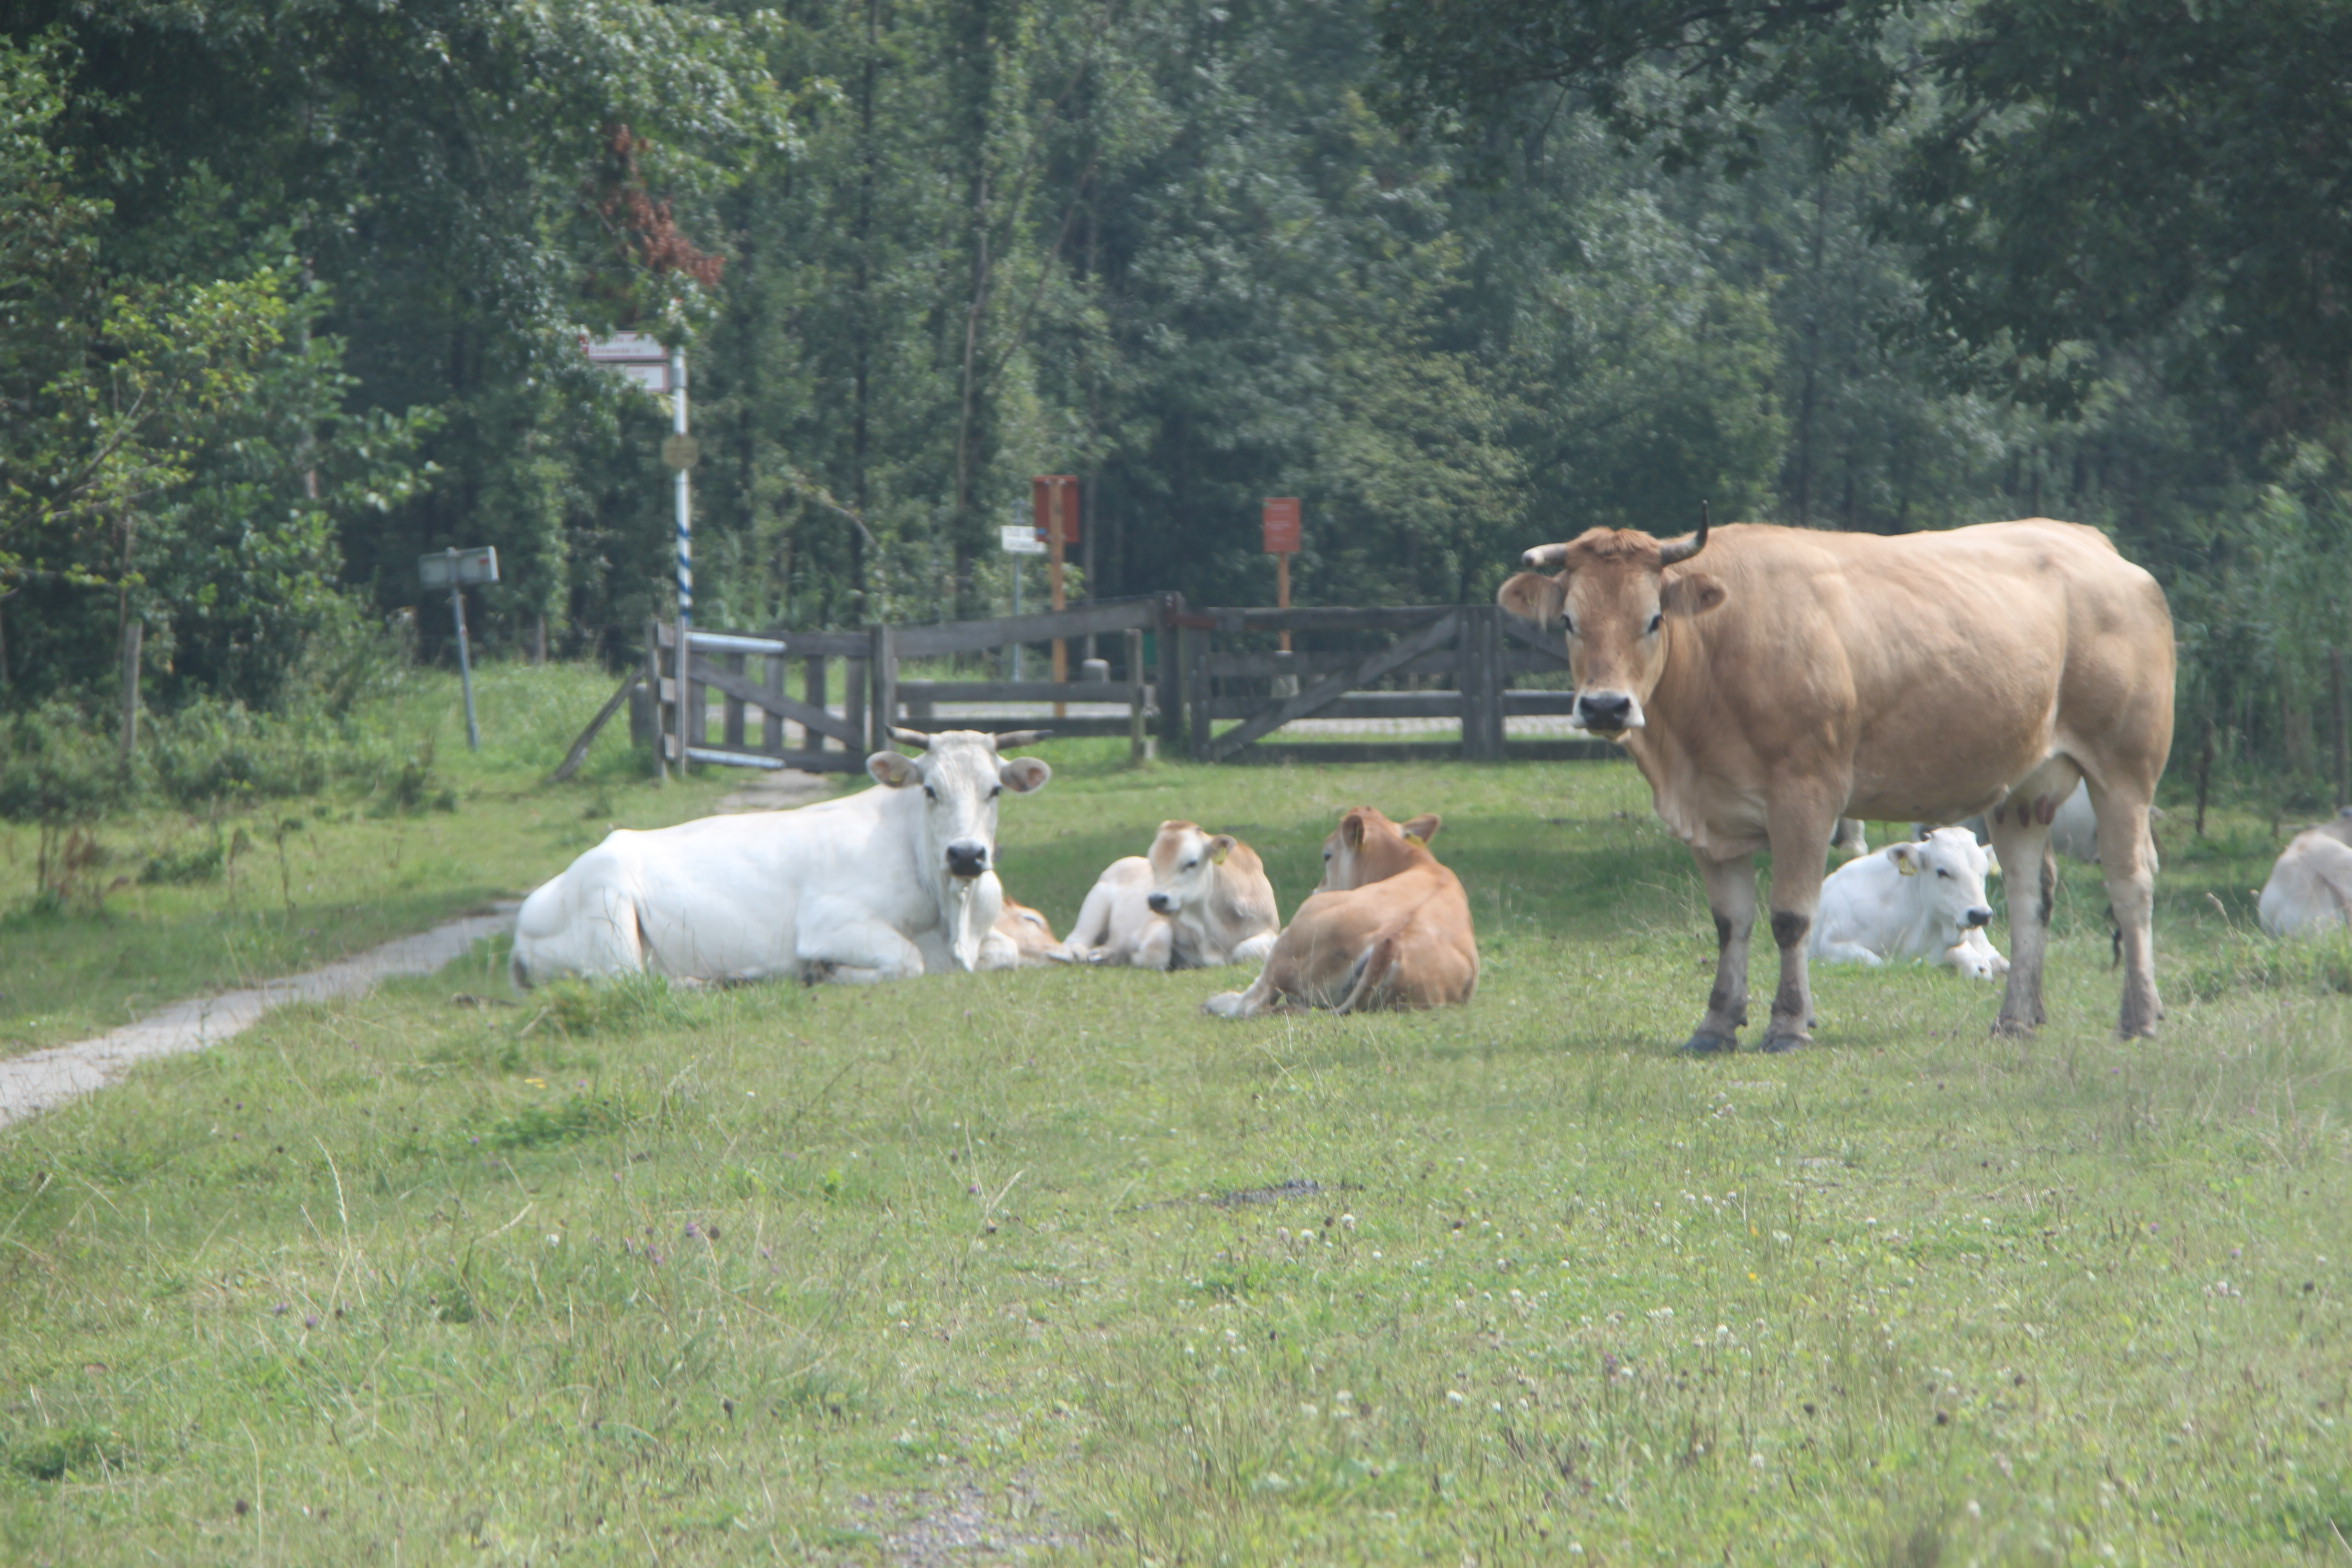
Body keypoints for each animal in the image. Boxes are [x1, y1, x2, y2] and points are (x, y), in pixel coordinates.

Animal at [510, 728, 1051, 987]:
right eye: (930, 790)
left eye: (995, 789)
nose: (965, 855)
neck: (952, 914)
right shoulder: (830, 924)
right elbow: (907, 960)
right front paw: (825, 972)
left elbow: (1006, 952)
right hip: (610, 909)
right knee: (629, 982)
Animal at [1061, 821, 1280, 969]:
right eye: (1153, 863)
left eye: (1191, 863)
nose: (1156, 899)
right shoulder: (1153, 925)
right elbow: (1157, 949)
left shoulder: (1271, 929)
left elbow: (1245, 950)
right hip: (1096, 902)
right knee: (1076, 939)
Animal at [1205, 807, 1478, 1017]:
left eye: (1327, 855)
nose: (1317, 889)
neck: (1419, 863)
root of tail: (1392, 941)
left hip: (1289, 938)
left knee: (1252, 1001)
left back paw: (1215, 1002)